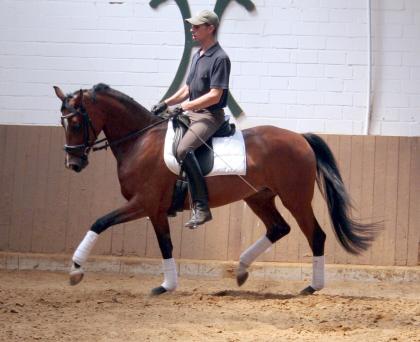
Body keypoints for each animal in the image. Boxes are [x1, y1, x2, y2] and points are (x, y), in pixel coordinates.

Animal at [53, 83, 378, 296]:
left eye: (77, 122)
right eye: (62, 122)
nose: (73, 163)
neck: (140, 142)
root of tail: (299, 138)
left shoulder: (144, 203)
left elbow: (100, 222)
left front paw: (76, 270)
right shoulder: (155, 210)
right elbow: (165, 245)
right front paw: (168, 285)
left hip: (295, 198)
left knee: (315, 235)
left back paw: (312, 286)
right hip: (258, 197)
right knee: (278, 228)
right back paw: (242, 270)